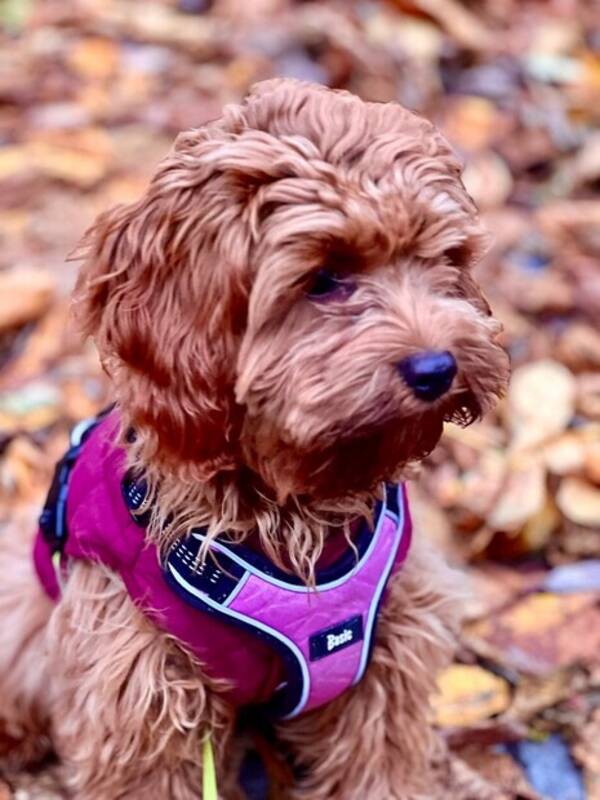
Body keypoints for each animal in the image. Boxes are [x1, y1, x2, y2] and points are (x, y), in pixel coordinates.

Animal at [0, 76, 506, 800]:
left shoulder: (389, 656)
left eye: (444, 259)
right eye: (325, 278)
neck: (291, 509)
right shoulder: (139, 683)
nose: (438, 367)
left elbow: (379, 765)